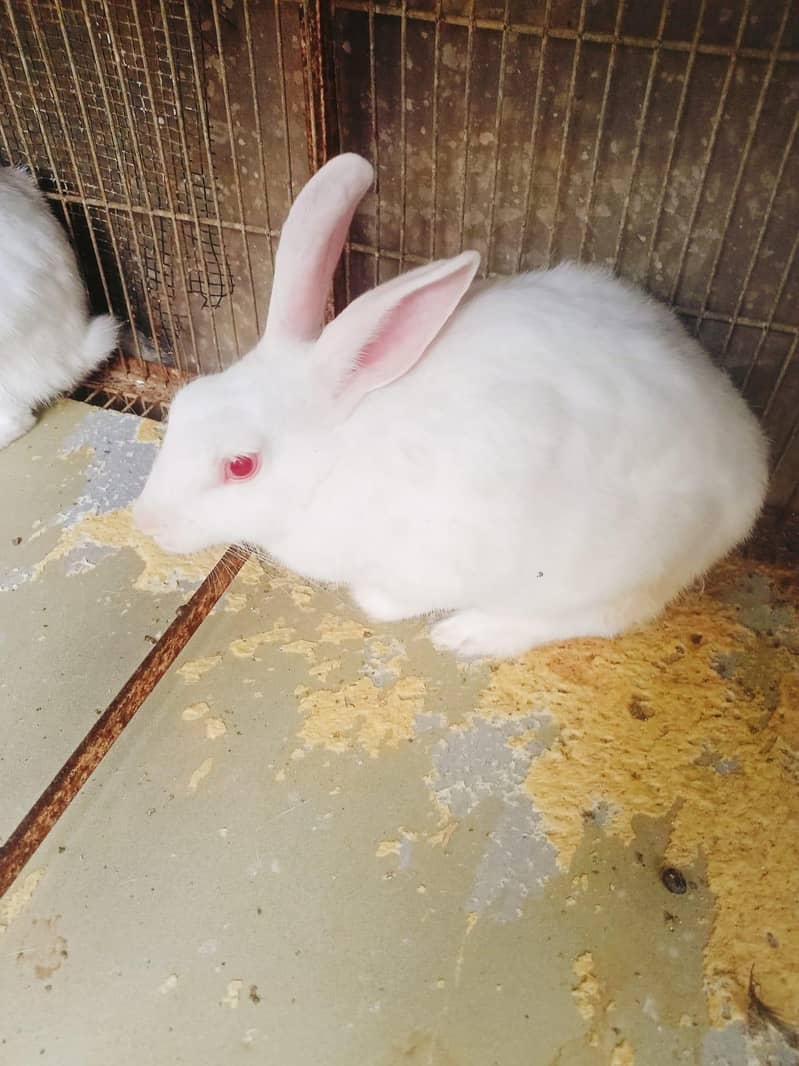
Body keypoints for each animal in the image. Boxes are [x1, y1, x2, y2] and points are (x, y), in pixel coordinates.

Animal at [133, 153, 768, 658]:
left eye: (242, 465)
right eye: (182, 406)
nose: (147, 522)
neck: (337, 453)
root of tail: (749, 464)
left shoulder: (429, 560)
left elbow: (394, 597)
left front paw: (376, 601)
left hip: (604, 567)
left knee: (600, 617)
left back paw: (467, 635)